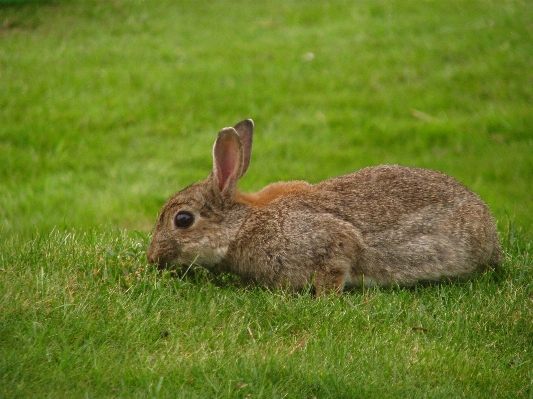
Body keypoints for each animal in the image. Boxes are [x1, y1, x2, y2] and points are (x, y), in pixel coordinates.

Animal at [148, 119, 500, 294]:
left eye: (183, 219)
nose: (152, 258)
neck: (243, 226)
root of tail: (490, 232)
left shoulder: (326, 241)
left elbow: (337, 263)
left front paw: (324, 298)